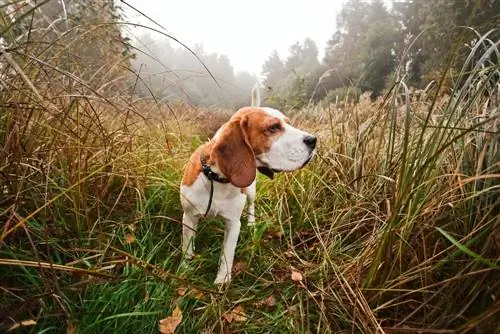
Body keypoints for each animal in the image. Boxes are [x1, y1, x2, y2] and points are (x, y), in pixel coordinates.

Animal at [181, 86, 316, 284]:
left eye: (288, 123)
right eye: (273, 127)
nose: (314, 140)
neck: (218, 179)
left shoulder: (233, 223)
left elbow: (227, 255)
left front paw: (222, 282)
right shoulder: (189, 217)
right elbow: (187, 248)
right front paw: (185, 269)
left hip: (251, 191)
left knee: (251, 206)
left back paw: (251, 223)